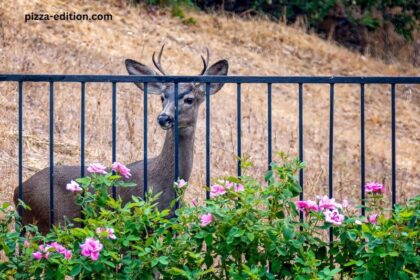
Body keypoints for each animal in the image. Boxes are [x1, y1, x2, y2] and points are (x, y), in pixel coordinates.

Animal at [13, 46, 228, 234]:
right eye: (163, 97)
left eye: (189, 99)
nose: (164, 118)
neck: (163, 182)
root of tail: (17, 192)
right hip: (51, 222)